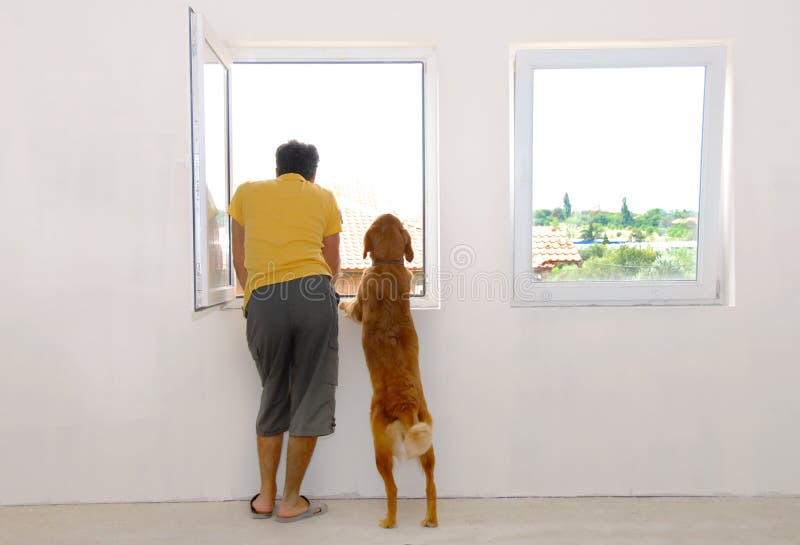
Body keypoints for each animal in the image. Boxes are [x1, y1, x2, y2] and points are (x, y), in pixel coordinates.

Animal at [338, 212, 438, 528]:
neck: (389, 266)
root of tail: (405, 405)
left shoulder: (360, 300)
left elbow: (352, 308)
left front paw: (341, 302)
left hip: (379, 449)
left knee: (392, 488)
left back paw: (388, 521)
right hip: (427, 447)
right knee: (431, 485)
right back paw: (430, 519)